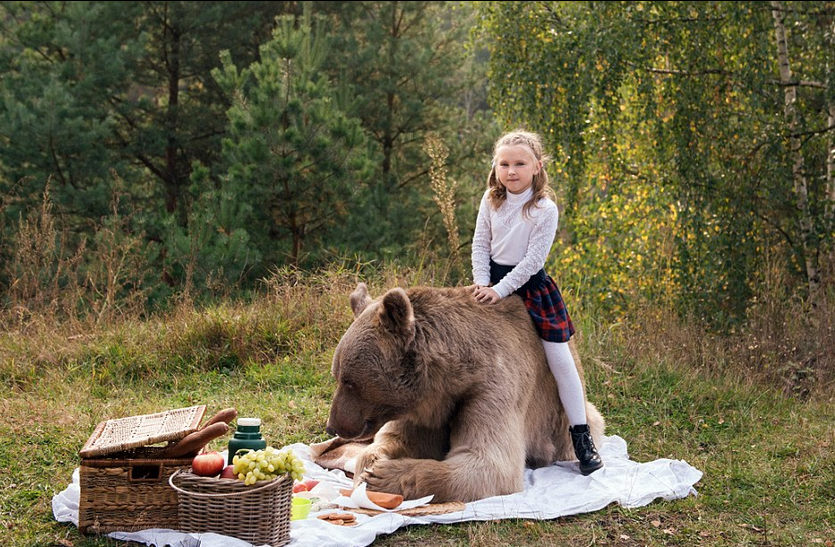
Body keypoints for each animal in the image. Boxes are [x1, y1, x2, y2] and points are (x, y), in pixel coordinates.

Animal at [324, 284, 604, 504]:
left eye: (349, 382)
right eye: (337, 375)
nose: (332, 426)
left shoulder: (491, 387)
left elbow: (489, 462)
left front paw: (381, 476)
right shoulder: (422, 409)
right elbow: (396, 439)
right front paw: (370, 466)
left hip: (560, 418)